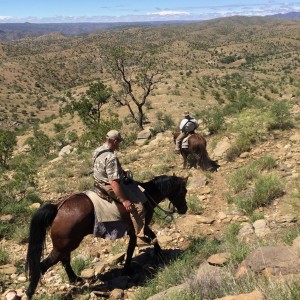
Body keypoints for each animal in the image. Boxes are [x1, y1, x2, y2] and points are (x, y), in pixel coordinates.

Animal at [25, 175, 189, 298]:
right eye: (183, 192)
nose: (184, 209)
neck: (145, 195)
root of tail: (58, 207)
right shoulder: (138, 227)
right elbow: (134, 246)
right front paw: (130, 268)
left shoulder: (139, 228)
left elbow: (145, 239)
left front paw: (156, 253)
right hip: (64, 245)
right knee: (43, 266)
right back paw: (29, 292)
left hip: (66, 245)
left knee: (64, 260)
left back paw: (75, 279)